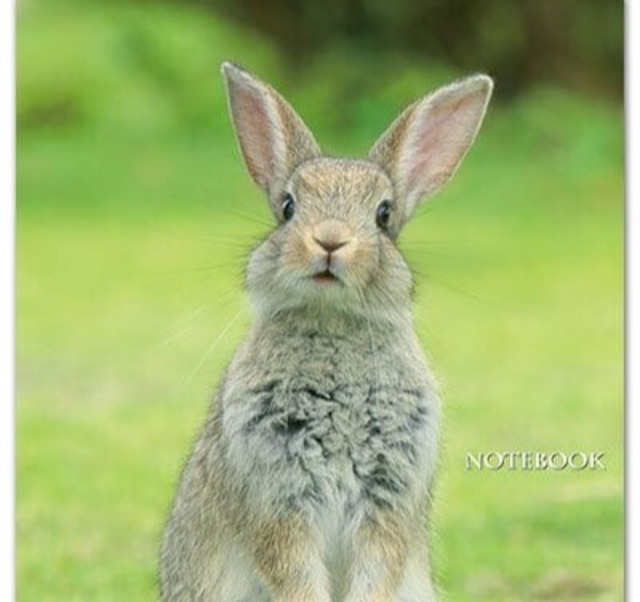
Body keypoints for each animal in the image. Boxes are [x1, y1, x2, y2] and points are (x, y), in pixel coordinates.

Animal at [159, 62, 490, 600]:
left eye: (383, 214)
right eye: (289, 207)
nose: (330, 240)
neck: (330, 320)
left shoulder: (386, 502)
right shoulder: (277, 499)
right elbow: (293, 570)